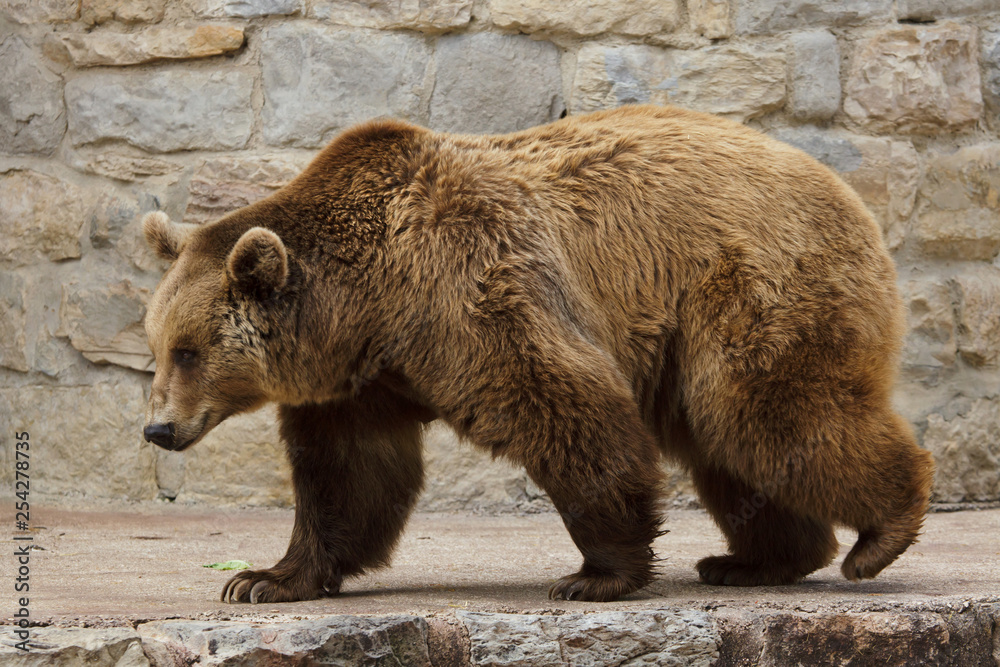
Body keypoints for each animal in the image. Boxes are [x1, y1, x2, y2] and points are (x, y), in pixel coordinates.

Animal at [143, 104, 936, 604]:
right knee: (732, 443)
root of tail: (846, 194)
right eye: (155, 346)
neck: (366, 302)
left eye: (188, 351)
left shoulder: (470, 289)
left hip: (750, 289)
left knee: (771, 415)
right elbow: (347, 474)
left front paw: (595, 573)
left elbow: (565, 404)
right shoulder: (363, 380)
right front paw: (263, 577)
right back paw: (753, 560)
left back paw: (882, 533)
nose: (157, 427)